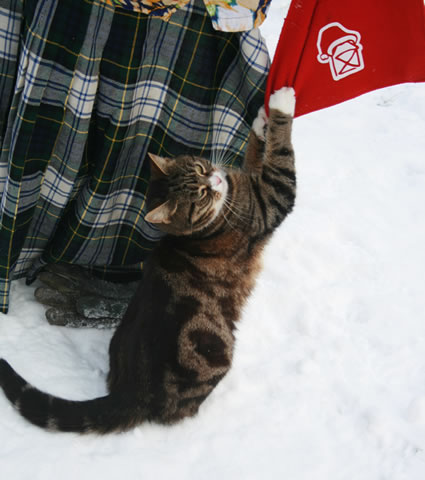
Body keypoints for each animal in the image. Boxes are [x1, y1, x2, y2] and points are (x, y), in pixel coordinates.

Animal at [0, 87, 296, 434]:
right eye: (200, 194)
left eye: (202, 170)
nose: (216, 181)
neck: (203, 226)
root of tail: (129, 392)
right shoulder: (268, 200)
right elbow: (280, 157)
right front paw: (281, 106)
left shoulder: (247, 184)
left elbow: (254, 156)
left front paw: (260, 123)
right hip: (216, 353)